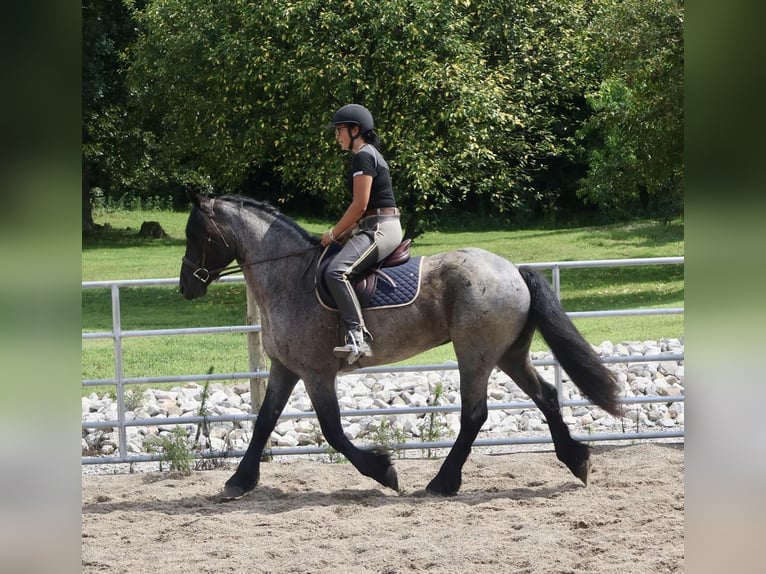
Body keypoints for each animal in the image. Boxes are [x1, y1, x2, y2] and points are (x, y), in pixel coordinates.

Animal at [179, 193, 622, 499]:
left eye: (196, 234)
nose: (186, 287)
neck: (289, 277)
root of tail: (512, 269)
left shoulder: (316, 373)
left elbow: (332, 430)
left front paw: (384, 471)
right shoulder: (285, 369)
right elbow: (264, 421)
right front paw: (239, 481)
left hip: (475, 354)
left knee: (474, 414)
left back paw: (443, 482)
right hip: (508, 354)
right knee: (545, 396)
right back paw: (577, 460)